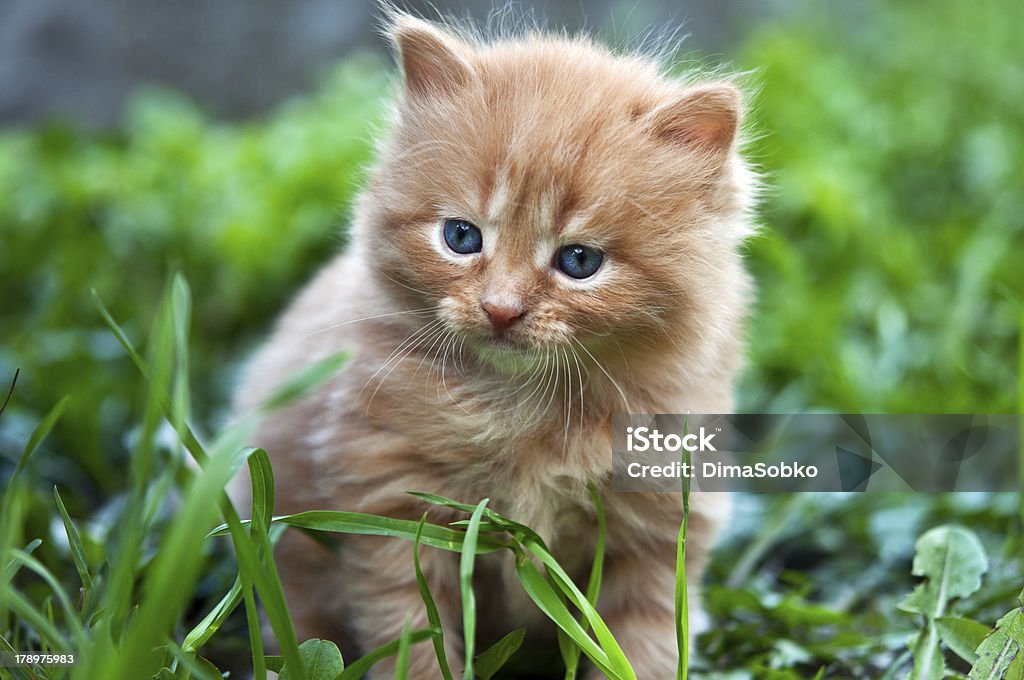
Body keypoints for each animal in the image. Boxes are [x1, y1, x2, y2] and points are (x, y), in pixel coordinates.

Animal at [235, 11, 757, 680]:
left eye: (579, 261)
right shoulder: (391, 509)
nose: (501, 308)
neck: (524, 409)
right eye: (461, 236)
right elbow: (413, 637)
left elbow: (641, 647)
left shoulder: (657, 527)